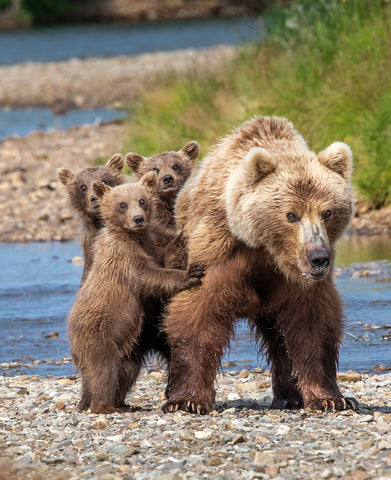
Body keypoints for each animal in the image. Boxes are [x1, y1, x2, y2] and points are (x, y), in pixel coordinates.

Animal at [162, 115, 358, 412]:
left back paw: (289, 397)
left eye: (327, 212)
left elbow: (313, 324)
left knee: (280, 338)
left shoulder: (296, 279)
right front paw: (186, 401)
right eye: (291, 215)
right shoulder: (220, 250)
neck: (266, 249)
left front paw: (332, 398)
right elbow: (198, 312)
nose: (319, 258)